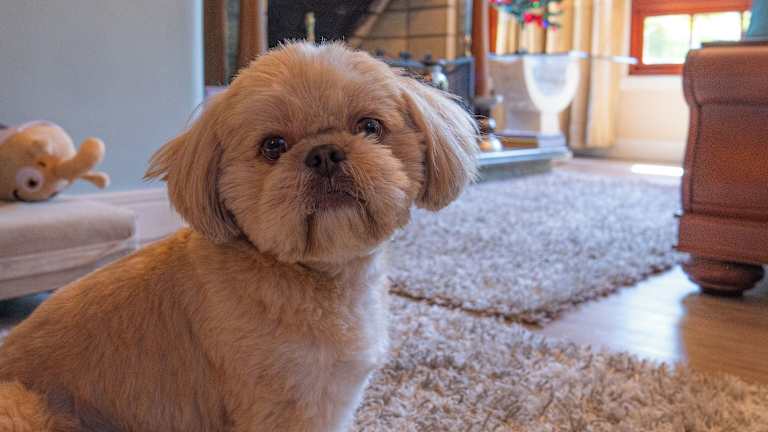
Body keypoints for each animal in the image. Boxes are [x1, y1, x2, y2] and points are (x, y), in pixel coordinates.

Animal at [0, 42, 477, 432]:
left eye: (370, 127)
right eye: (273, 146)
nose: (324, 153)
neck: (316, 277)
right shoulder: (284, 408)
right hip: (21, 408)